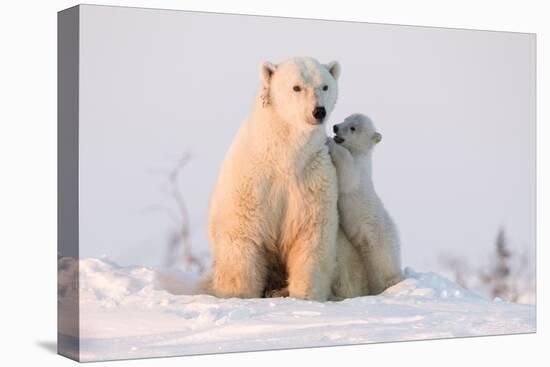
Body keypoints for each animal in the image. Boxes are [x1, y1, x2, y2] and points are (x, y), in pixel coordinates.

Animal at [207, 57, 366, 302]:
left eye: (325, 86)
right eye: (296, 87)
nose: (318, 111)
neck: (283, 156)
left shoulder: (312, 180)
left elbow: (311, 237)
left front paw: (304, 296)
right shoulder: (252, 182)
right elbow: (241, 235)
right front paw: (237, 295)